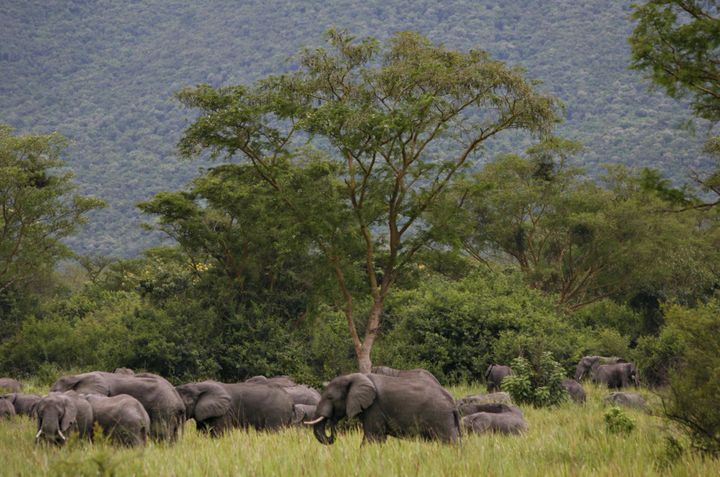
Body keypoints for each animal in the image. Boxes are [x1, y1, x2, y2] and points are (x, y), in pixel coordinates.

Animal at [306, 370, 458, 444]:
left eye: (330, 398)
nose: (332, 423)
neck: (353, 376)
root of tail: (452, 402)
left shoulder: (375, 407)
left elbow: (372, 437)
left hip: (440, 417)